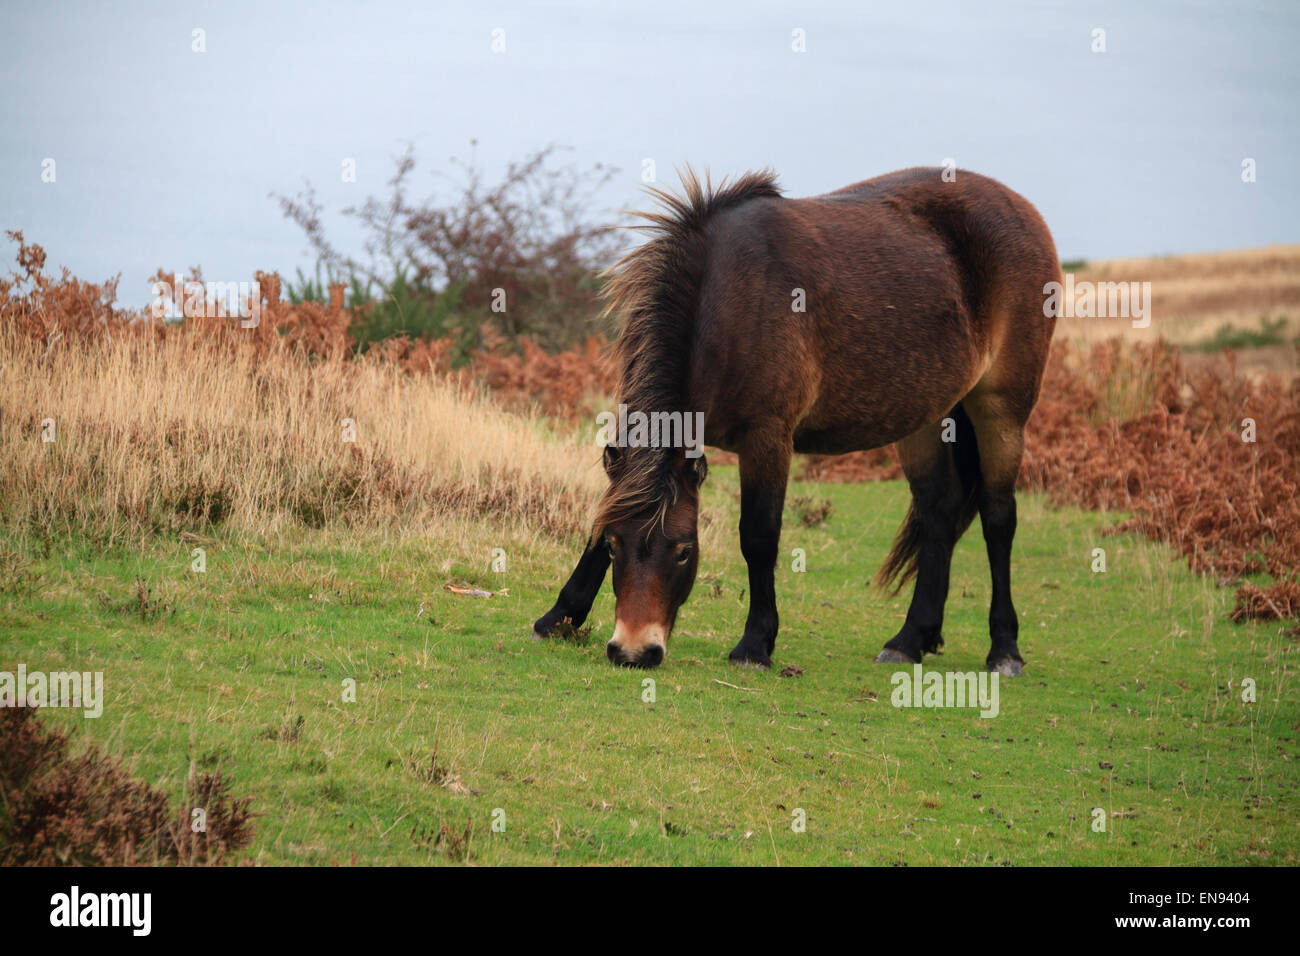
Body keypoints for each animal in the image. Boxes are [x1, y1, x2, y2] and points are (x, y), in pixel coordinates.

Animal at [527, 164, 1055, 671]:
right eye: (615, 546)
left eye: (683, 550)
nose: (635, 651)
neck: (730, 301)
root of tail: (1024, 211)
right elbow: (603, 516)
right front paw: (559, 617)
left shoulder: (768, 438)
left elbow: (759, 536)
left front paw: (755, 645)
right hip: (926, 416)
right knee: (940, 512)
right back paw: (910, 640)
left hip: (1001, 409)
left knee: (998, 518)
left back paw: (1004, 649)